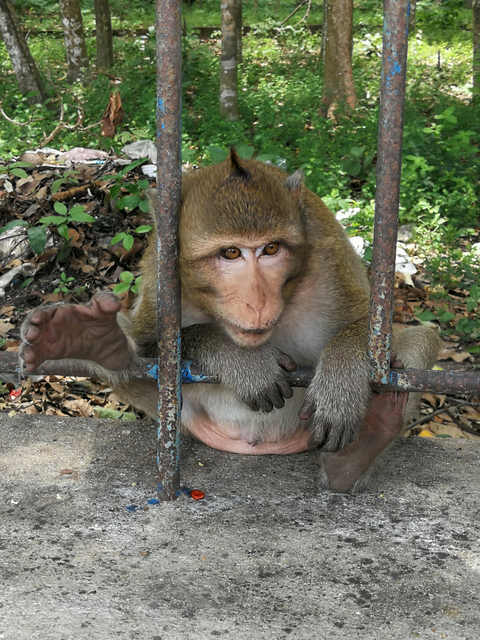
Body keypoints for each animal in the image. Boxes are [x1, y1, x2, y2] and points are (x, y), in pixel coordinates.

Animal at [20, 149, 440, 492]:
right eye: (230, 253)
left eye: (271, 249)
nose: (257, 301)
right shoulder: (160, 266)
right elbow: (151, 341)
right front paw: (242, 361)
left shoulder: (328, 250)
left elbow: (376, 324)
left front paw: (341, 376)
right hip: (181, 419)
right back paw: (89, 339)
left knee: (419, 343)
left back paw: (363, 445)